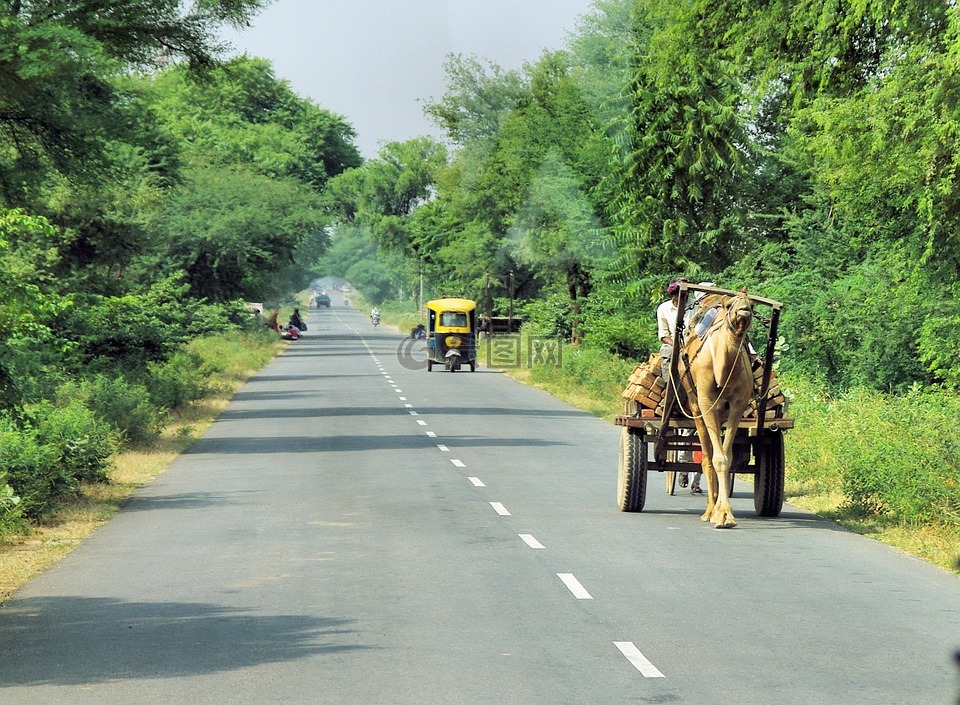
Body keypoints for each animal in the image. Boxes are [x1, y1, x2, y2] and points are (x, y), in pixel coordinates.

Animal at [680, 288, 752, 524]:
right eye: (730, 304)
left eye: (752, 304)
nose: (744, 308)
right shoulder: (705, 401)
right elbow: (716, 458)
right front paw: (720, 515)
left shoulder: (738, 405)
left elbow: (726, 458)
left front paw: (725, 513)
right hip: (695, 405)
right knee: (705, 456)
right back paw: (708, 510)